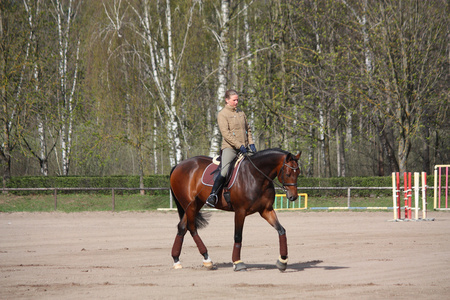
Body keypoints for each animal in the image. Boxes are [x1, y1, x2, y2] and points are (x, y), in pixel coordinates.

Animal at [171, 148, 300, 272]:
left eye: (298, 173)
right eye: (288, 173)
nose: (293, 197)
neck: (255, 176)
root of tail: (178, 165)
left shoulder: (266, 210)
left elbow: (281, 230)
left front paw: (282, 261)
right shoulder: (240, 212)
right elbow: (238, 236)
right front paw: (238, 263)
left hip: (194, 205)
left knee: (182, 227)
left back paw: (176, 260)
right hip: (190, 205)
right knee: (192, 228)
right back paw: (207, 259)